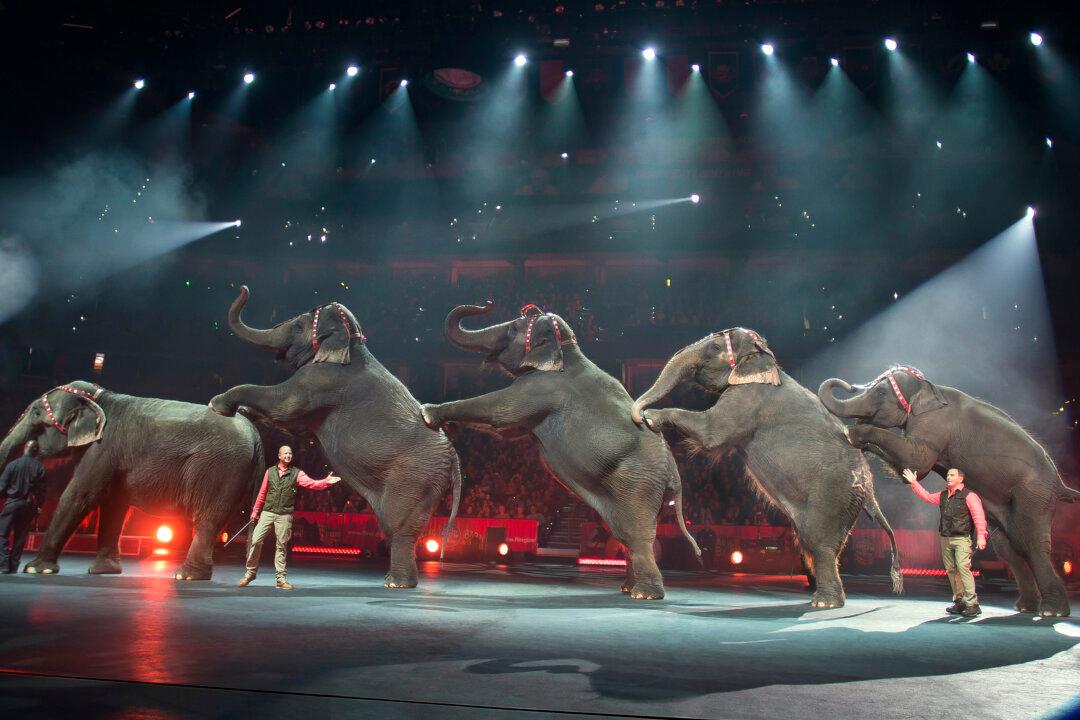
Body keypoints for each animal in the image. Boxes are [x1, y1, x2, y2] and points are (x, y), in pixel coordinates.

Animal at [0, 381, 264, 580]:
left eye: (36, 412)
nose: (31, 446)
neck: (100, 398)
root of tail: (255, 435)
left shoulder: (103, 448)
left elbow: (80, 495)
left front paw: (36, 569)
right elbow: (113, 504)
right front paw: (103, 571)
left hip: (220, 469)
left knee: (207, 519)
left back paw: (186, 576)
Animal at [209, 287, 461, 589]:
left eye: (298, 326)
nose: (243, 289)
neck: (352, 341)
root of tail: (454, 458)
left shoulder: (322, 381)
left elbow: (285, 405)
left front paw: (218, 404)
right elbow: (293, 424)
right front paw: (245, 411)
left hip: (415, 478)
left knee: (399, 526)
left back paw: (396, 583)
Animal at [420, 302, 701, 600]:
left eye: (514, 328)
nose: (487, 304)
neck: (567, 351)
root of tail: (673, 472)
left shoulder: (542, 388)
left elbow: (499, 412)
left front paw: (428, 412)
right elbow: (509, 431)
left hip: (639, 484)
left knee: (637, 533)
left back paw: (645, 594)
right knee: (622, 533)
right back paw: (627, 588)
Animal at [631, 328, 903, 609]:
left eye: (715, 347)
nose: (638, 413)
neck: (764, 360)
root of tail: (869, 491)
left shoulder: (748, 397)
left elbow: (711, 432)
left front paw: (651, 417)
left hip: (834, 496)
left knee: (819, 543)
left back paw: (825, 603)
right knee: (809, 543)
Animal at [818, 366, 1080, 617]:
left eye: (880, 392)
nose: (850, 385)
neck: (929, 387)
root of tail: (1059, 482)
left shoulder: (935, 423)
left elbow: (917, 461)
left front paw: (853, 434)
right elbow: (909, 468)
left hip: (1034, 494)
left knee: (1030, 543)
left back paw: (1052, 611)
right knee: (1008, 547)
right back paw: (1026, 607)